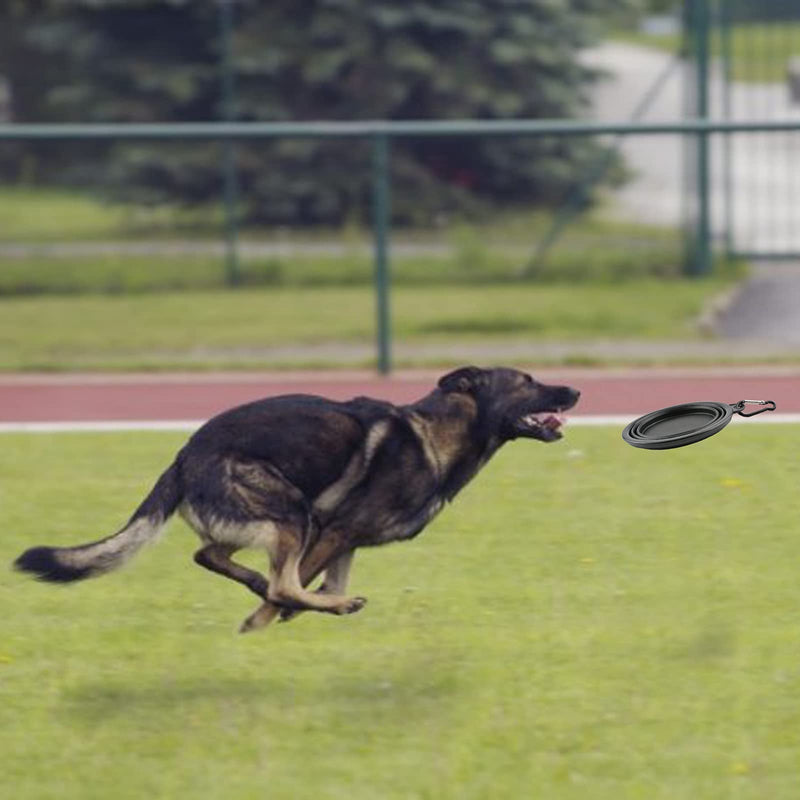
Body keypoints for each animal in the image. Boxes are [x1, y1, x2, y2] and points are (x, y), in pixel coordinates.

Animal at [15, 366, 580, 636]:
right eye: (527, 381)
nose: (574, 391)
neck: (436, 435)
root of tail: (183, 456)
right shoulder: (334, 531)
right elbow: (295, 589)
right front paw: (257, 627)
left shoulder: (346, 540)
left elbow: (323, 579)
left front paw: (286, 613)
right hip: (290, 511)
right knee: (279, 580)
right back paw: (316, 604)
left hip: (269, 520)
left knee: (212, 555)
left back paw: (270, 587)